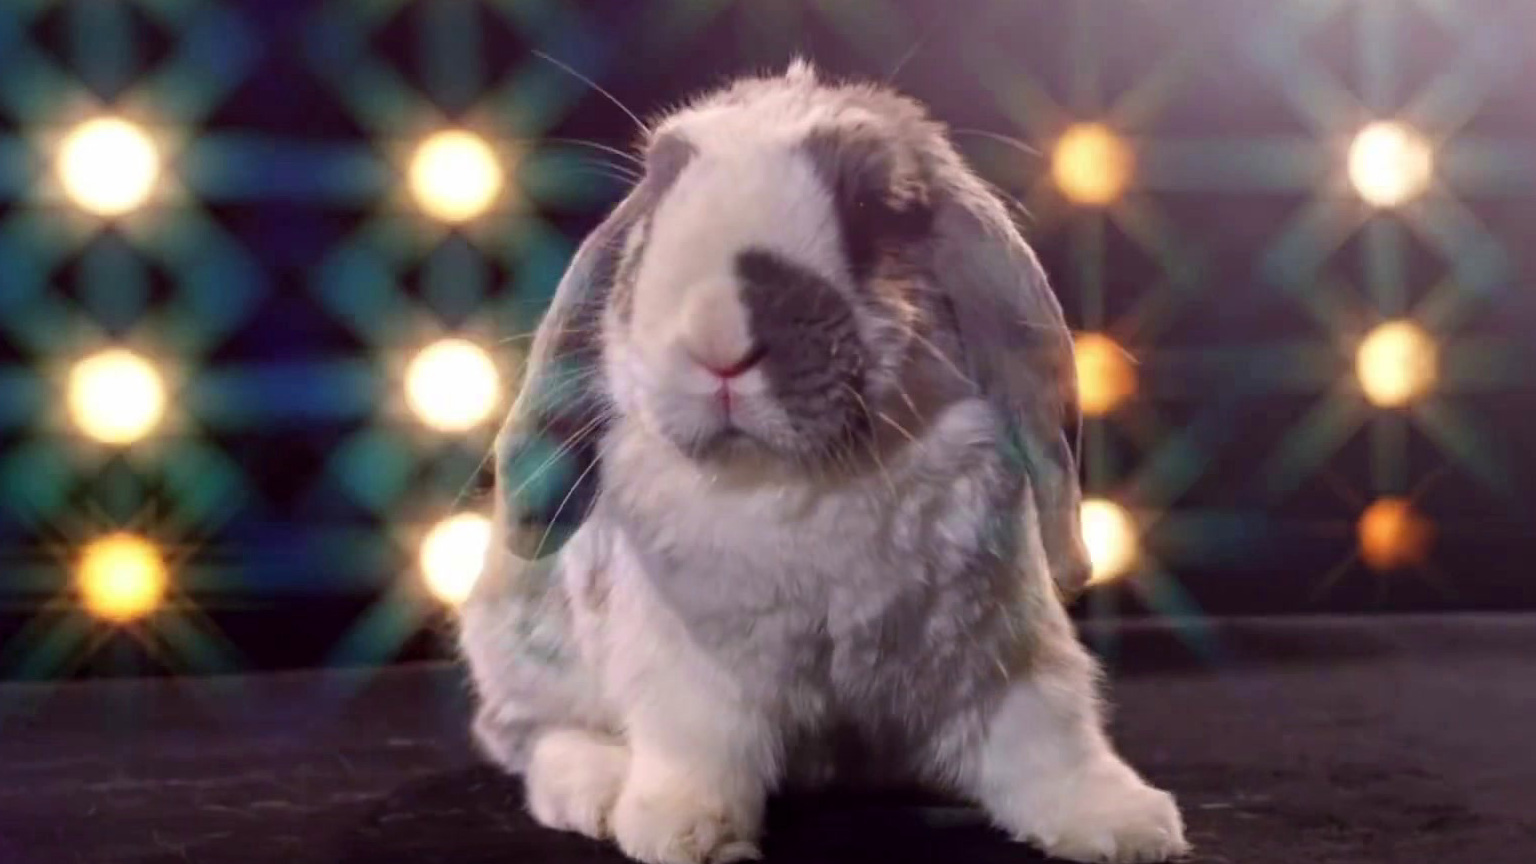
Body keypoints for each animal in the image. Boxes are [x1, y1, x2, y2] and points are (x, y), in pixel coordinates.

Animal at [457, 59, 1188, 864]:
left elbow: (1051, 738)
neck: (801, 479)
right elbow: (698, 750)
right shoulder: (693, 675)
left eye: (874, 207)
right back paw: (597, 790)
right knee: (527, 735)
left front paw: (1129, 825)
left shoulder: (1004, 653)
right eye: (659, 193)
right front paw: (685, 832)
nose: (717, 338)